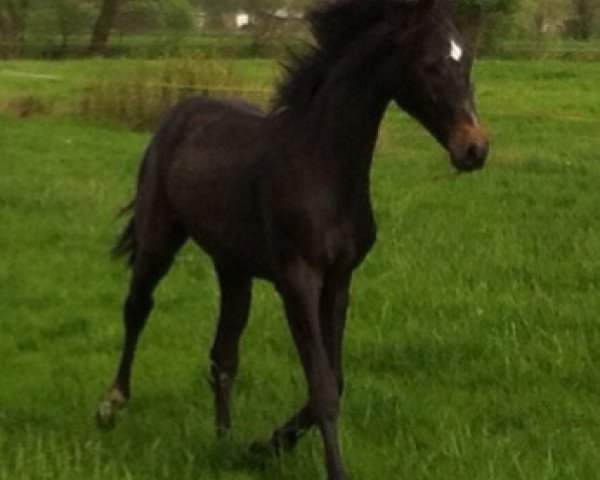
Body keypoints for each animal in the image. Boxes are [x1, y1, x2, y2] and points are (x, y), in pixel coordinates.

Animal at [97, 0, 488, 480]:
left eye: (466, 61)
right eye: (430, 65)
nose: (474, 149)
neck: (321, 166)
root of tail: (177, 112)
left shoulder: (339, 281)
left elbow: (335, 380)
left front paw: (264, 447)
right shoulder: (297, 280)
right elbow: (322, 387)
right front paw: (332, 469)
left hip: (233, 267)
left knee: (223, 355)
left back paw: (224, 443)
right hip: (159, 237)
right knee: (138, 307)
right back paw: (111, 405)